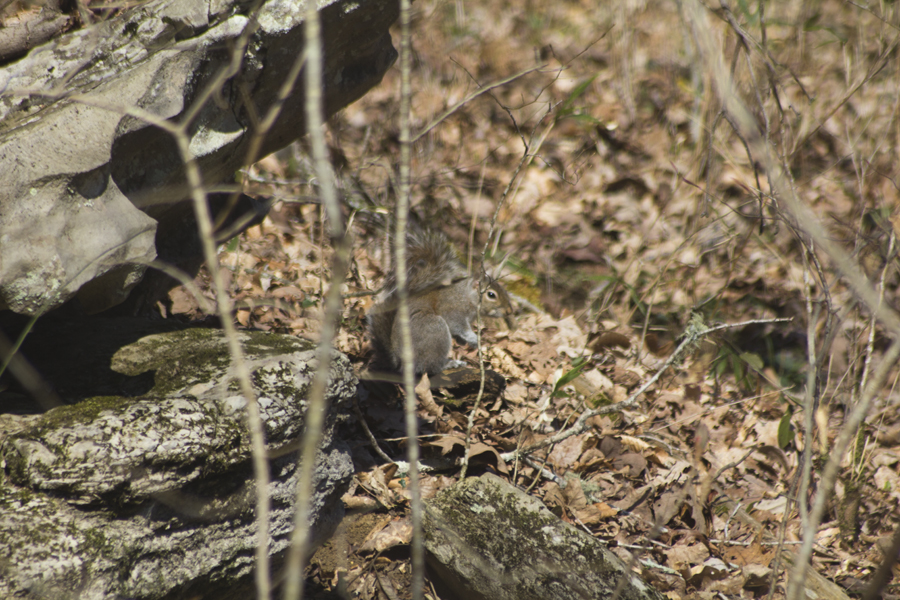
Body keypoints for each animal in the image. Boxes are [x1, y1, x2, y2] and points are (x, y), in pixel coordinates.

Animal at [367, 231, 514, 377]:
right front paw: (473, 338)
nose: (509, 311)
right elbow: (458, 326)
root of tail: (399, 360)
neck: (466, 296)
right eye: (491, 295)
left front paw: (465, 342)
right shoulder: (453, 310)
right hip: (435, 330)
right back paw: (450, 364)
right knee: (429, 367)